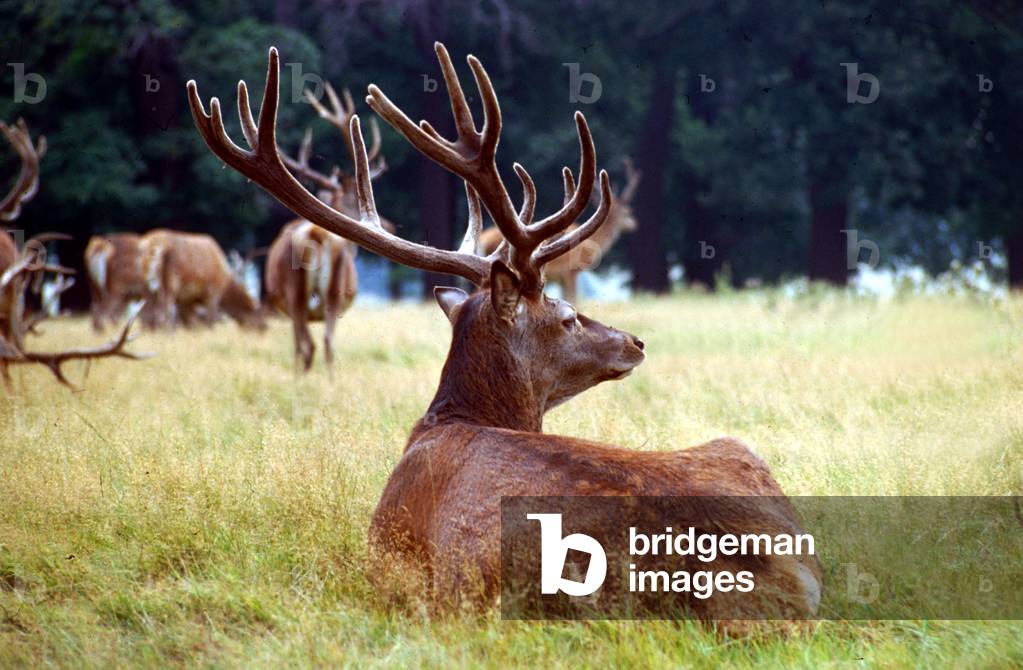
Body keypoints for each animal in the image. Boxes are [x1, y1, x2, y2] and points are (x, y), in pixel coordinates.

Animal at [264, 84, 390, 371]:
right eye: (352, 202)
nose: (391, 226)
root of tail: (316, 234)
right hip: (330, 294)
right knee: (325, 344)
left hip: (297, 294)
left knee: (309, 347)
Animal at [478, 158, 640, 303]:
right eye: (628, 212)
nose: (634, 225)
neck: (593, 244)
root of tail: (482, 241)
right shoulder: (571, 271)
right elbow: (573, 300)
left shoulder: (561, 278)